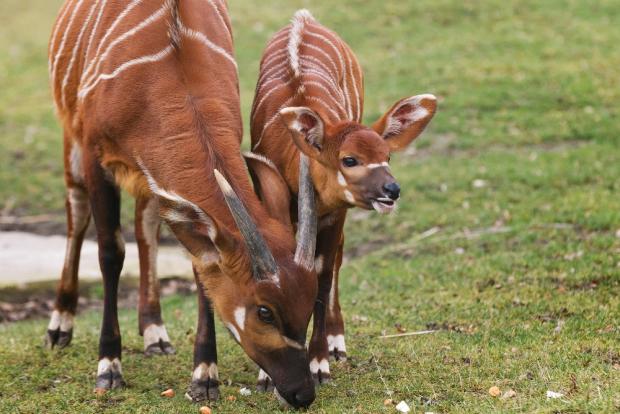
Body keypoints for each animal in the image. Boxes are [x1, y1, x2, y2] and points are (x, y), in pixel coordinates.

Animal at [48, 0, 320, 408]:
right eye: (264, 311)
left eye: (310, 300)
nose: (302, 392)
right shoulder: (96, 153)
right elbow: (110, 253)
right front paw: (109, 366)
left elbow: (199, 266)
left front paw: (204, 376)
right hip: (72, 138)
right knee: (77, 214)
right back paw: (60, 325)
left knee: (145, 226)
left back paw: (154, 332)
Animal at [249, 9, 438, 384]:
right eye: (349, 159)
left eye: (387, 155)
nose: (392, 190)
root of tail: (304, 16)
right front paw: (266, 374)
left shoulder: (334, 214)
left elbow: (322, 278)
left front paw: (319, 362)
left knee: (337, 257)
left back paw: (337, 342)